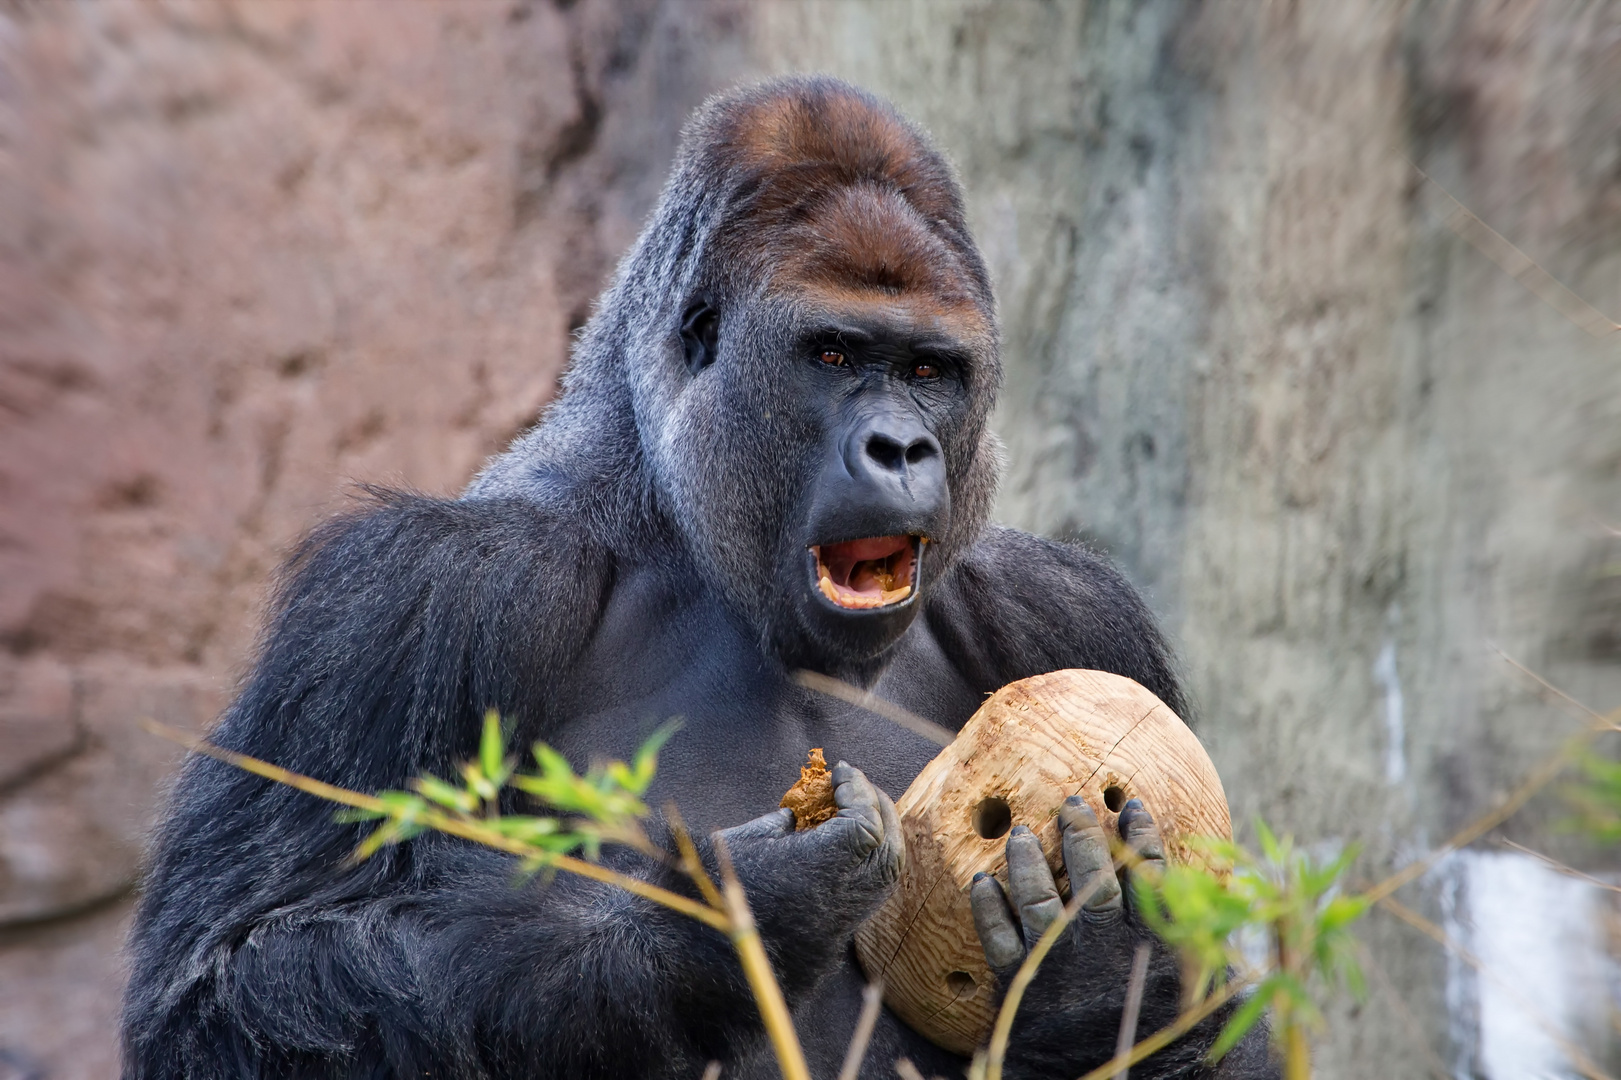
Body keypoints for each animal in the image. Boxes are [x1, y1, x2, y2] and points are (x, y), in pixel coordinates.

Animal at [119, 77, 1270, 1076]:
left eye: (929, 370)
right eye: (833, 354)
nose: (901, 448)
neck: (676, 523)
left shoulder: (1074, 613)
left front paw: (1099, 979)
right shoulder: (414, 595)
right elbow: (228, 974)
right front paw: (727, 918)